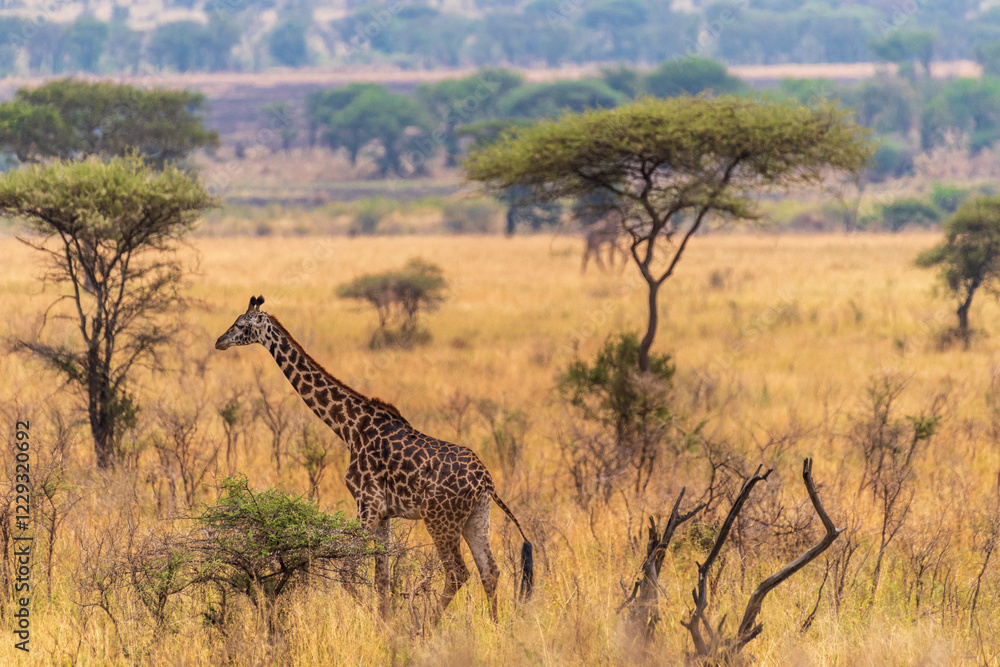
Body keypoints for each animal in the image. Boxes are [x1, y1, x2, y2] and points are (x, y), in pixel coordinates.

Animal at [215, 296, 533, 622]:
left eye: (240, 324)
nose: (219, 341)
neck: (349, 427)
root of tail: (486, 480)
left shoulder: (367, 503)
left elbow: (348, 572)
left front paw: (382, 623)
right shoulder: (385, 513)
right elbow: (382, 580)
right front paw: (385, 621)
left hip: (439, 519)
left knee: (458, 572)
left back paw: (427, 624)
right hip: (476, 517)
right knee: (490, 570)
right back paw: (495, 626)